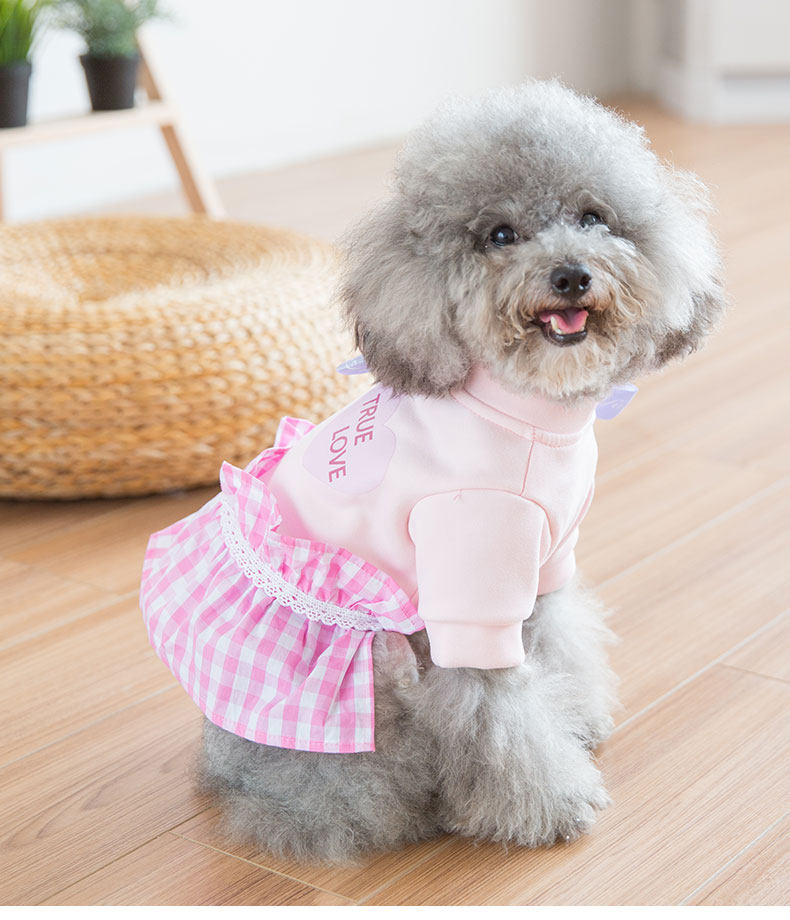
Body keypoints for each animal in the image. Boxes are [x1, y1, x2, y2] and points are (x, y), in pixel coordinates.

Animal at [140, 80, 724, 864]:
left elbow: (561, 646)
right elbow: (499, 717)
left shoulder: (546, 566)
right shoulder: (470, 594)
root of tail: (220, 761)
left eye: (593, 217)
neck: (527, 415)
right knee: (329, 794)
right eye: (500, 236)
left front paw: (578, 719)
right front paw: (551, 805)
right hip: (365, 681)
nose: (572, 274)